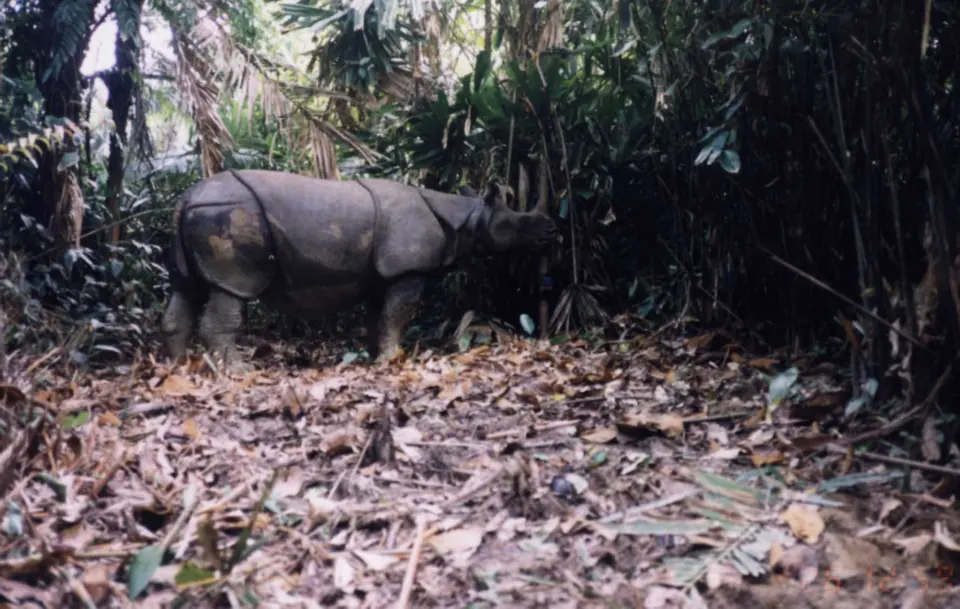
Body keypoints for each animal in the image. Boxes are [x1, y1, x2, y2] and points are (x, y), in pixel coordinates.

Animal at [160, 169, 558, 366]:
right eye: (518, 223)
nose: (550, 230)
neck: (469, 216)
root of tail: (187, 197)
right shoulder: (408, 270)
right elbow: (399, 314)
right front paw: (392, 360)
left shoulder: (382, 273)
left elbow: (379, 316)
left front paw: (374, 356)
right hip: (229, 213)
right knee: (229, 290)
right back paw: (238, 371)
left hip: (205, 213)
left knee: (185, 289)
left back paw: (178, 369)